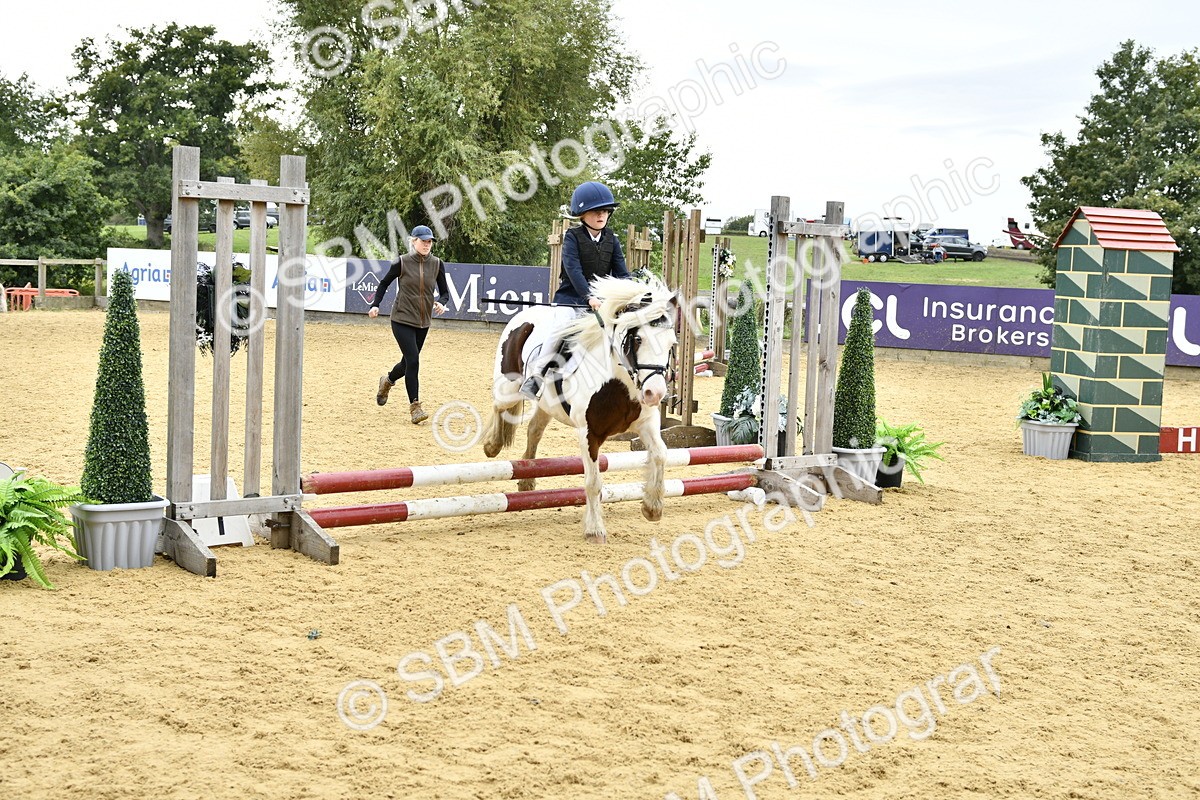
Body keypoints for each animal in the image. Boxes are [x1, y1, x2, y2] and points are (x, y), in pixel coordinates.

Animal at [482, 275, 679, 543]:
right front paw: (595, 530)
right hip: (508, 389)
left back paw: (527, 481)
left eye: (671, 344)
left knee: (534, 430)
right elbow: (593, 482)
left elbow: (660, 455)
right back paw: (492, 445)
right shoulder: (589, 434)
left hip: (547, 405)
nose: (655, 393)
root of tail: (525, 314)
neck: (618, 382)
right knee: (498, 406)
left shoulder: (646, 424)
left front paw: (652, 507)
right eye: (639, 339)